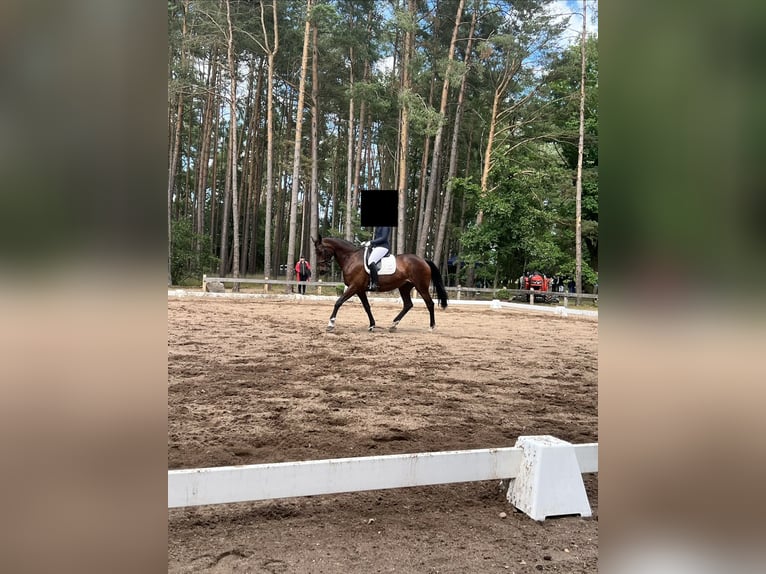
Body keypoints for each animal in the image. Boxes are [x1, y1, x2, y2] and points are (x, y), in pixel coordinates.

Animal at [313, 235, 448, 332]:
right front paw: (372, 325)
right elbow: (367, 307)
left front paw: (330, 324)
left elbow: (338, 302)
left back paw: (431, 327)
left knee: (429, 303)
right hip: (404, 287)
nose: (322, 271)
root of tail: (423, 260)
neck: (351, 257)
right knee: (408, 305)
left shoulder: (354, 287)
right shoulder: (360, 289)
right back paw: (393, 325)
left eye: (321, 251)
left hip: (421, 286)